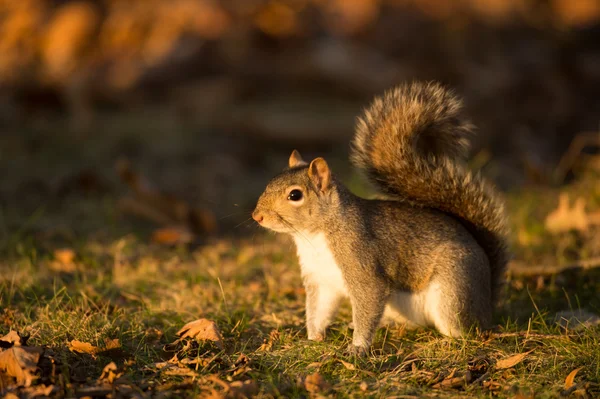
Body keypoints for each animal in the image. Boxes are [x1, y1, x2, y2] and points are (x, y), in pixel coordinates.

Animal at [251, 81, 508, 356]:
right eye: (270, 182)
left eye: (295, 195)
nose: (257, 216)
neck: (315, 236)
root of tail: (487, 303)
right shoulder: (321, 281)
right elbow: (318, 311)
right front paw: (312, 339)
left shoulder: (362, 264)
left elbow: (369, 300)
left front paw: (357, 348)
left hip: (453, 291)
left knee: (465, 330)